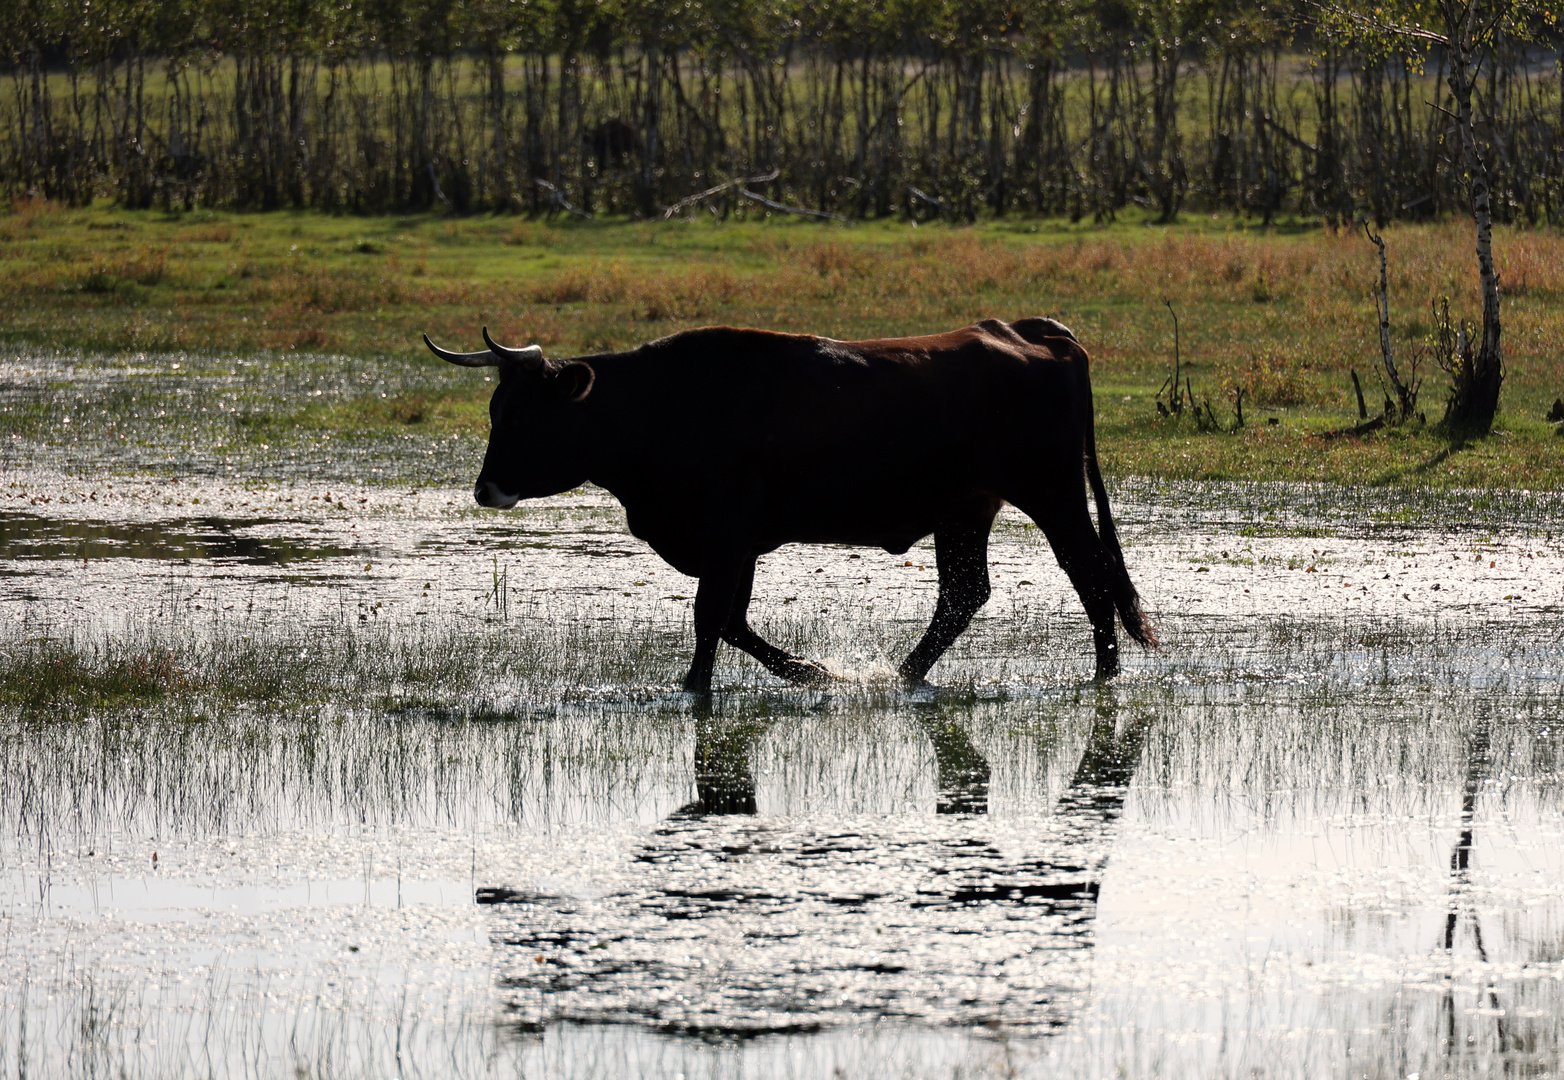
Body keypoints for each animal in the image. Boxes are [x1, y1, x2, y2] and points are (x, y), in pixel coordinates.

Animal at [422, 320, 1157, 693]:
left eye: (524, 417)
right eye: (495, 409)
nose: (486, 489)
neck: (664, 404)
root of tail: (1033, 335)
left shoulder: (727, 537)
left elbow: (710, 619)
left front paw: (696, 689)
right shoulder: (740, 544)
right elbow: (732, 622)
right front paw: (811, 671)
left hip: (1051, 494)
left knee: (1089, 575)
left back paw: (1105, 676)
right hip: (967, 508)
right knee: (964, 593)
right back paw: (903, 675)